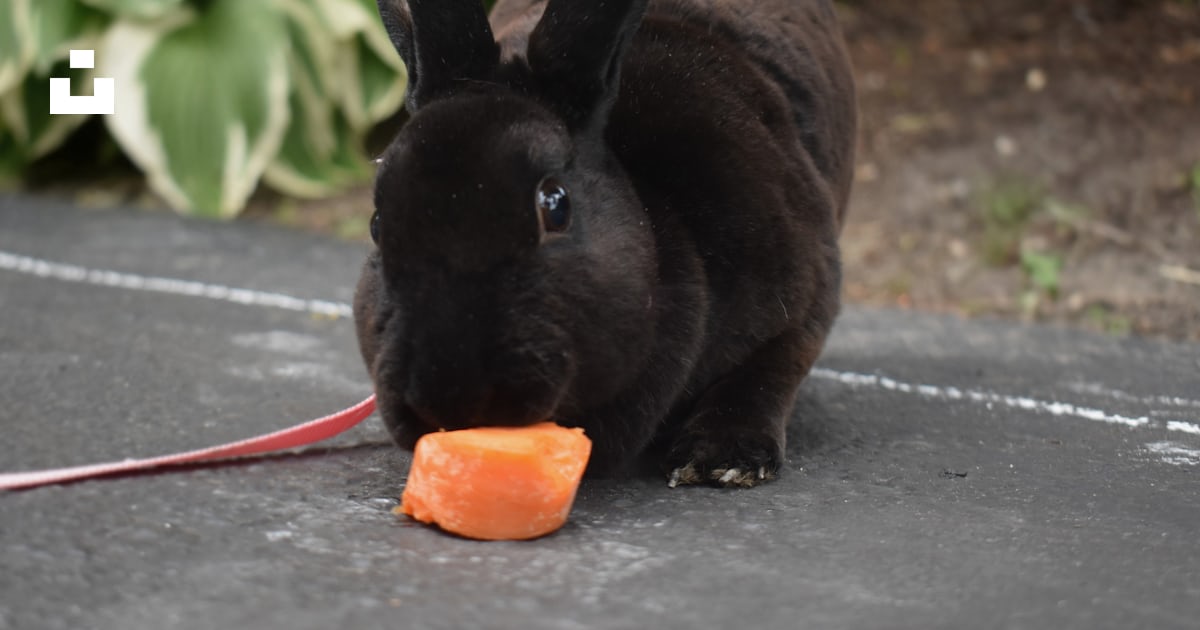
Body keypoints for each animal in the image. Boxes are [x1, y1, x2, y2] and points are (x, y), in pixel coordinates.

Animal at [354, 0, 857, 487]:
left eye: (555, 205)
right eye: (377, 224)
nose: (447, 395)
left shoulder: (810, 299)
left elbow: (768, 373)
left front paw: (721, 460)